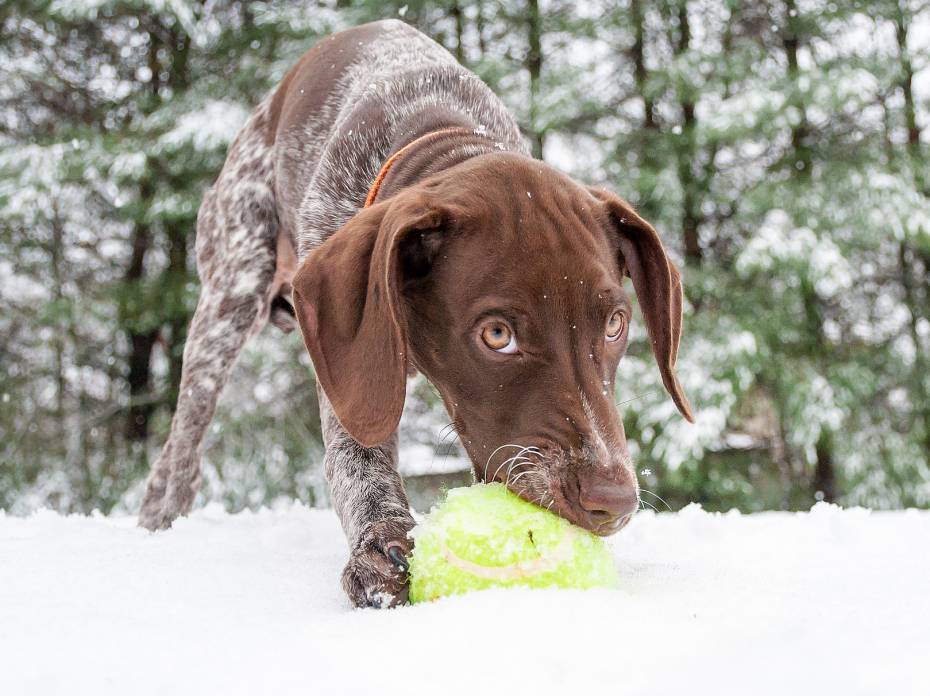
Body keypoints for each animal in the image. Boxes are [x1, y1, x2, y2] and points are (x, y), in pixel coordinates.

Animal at [138, 19, 693, 608]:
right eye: (497, 334)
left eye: (614, 325)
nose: (613, 500)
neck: (439, 132)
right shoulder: (352, 364)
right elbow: (357, 453)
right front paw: (377, 545)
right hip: (232, 288)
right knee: (185, 436)